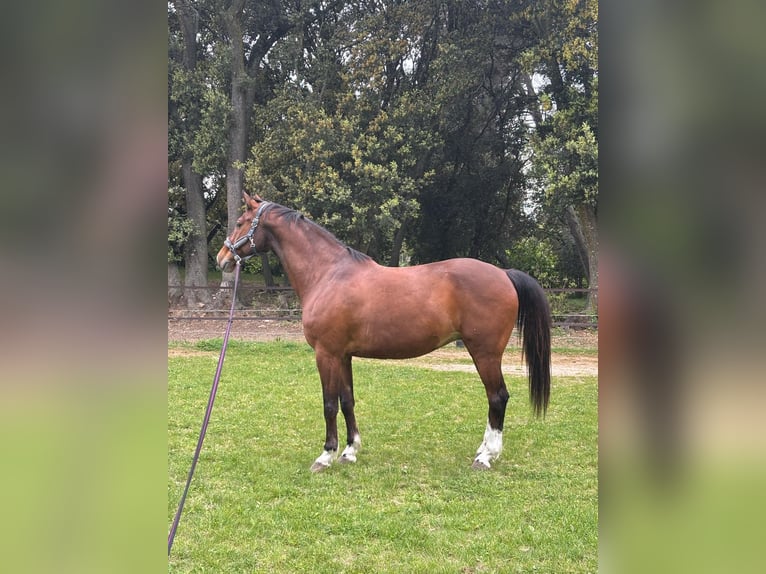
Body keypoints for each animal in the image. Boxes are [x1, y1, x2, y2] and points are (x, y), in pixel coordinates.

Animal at [216, 192, 551, 472]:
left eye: (240, 222)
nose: (222, 258)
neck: (328, 274)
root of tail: (503, 274)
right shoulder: (343, 355)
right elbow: (347, 401)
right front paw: (350, 451)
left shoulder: (326, 354)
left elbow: (328, 404)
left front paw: (325, 456)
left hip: (485, 353)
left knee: (498, 397)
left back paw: (485, 456)